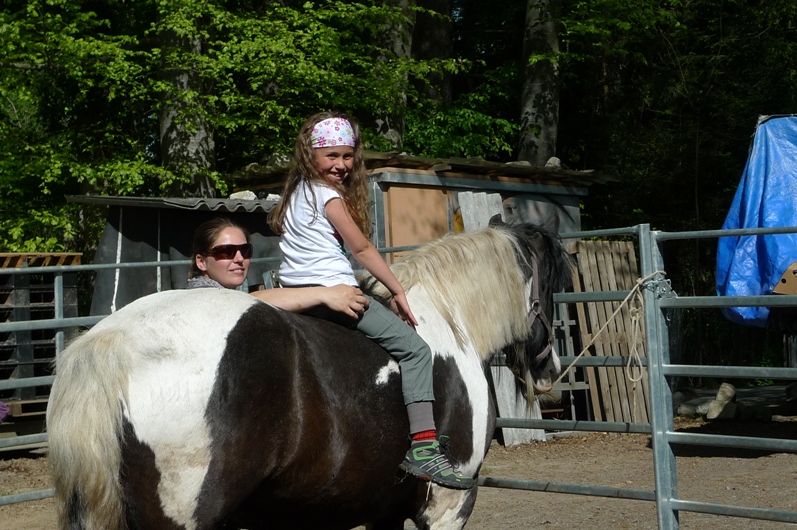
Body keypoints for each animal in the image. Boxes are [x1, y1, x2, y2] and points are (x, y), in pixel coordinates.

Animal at [46, 216, 572, 530]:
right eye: (552, 287)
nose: (551, 369)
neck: (450, 321)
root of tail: (114, 344)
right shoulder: (447, 508)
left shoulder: (383, 508)